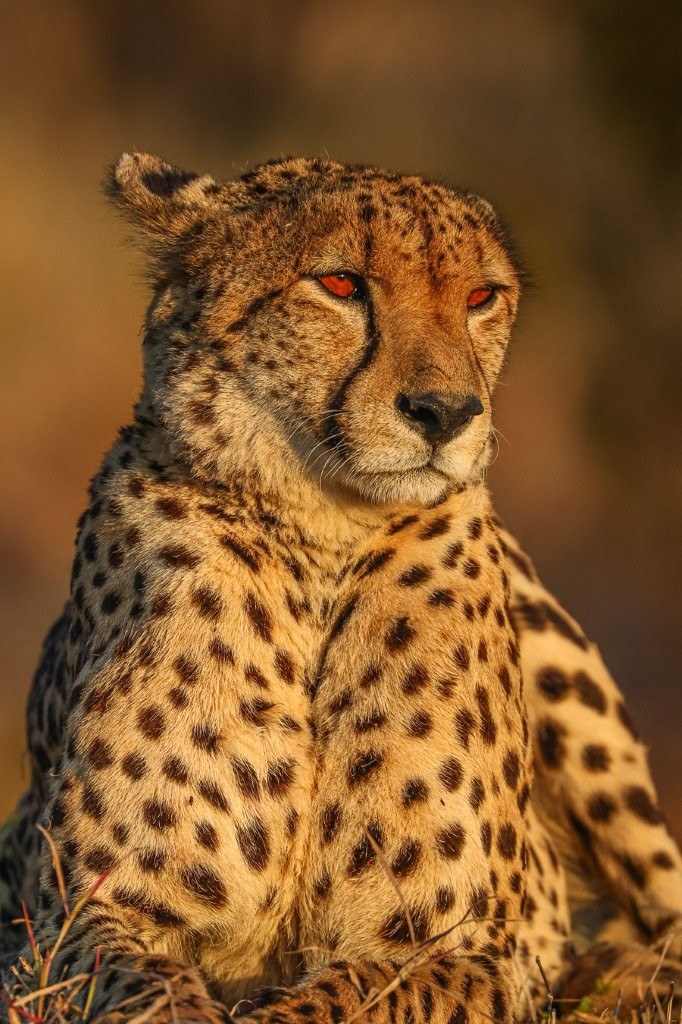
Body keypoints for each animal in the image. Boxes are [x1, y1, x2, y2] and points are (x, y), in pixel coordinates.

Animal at [1, 152, 681, 1024]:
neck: (319, 541)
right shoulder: (78, 922)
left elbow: (338, 999)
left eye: (480, 298)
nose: (447, 412)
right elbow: (154, 993)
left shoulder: (460, 945)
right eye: (339, 285)